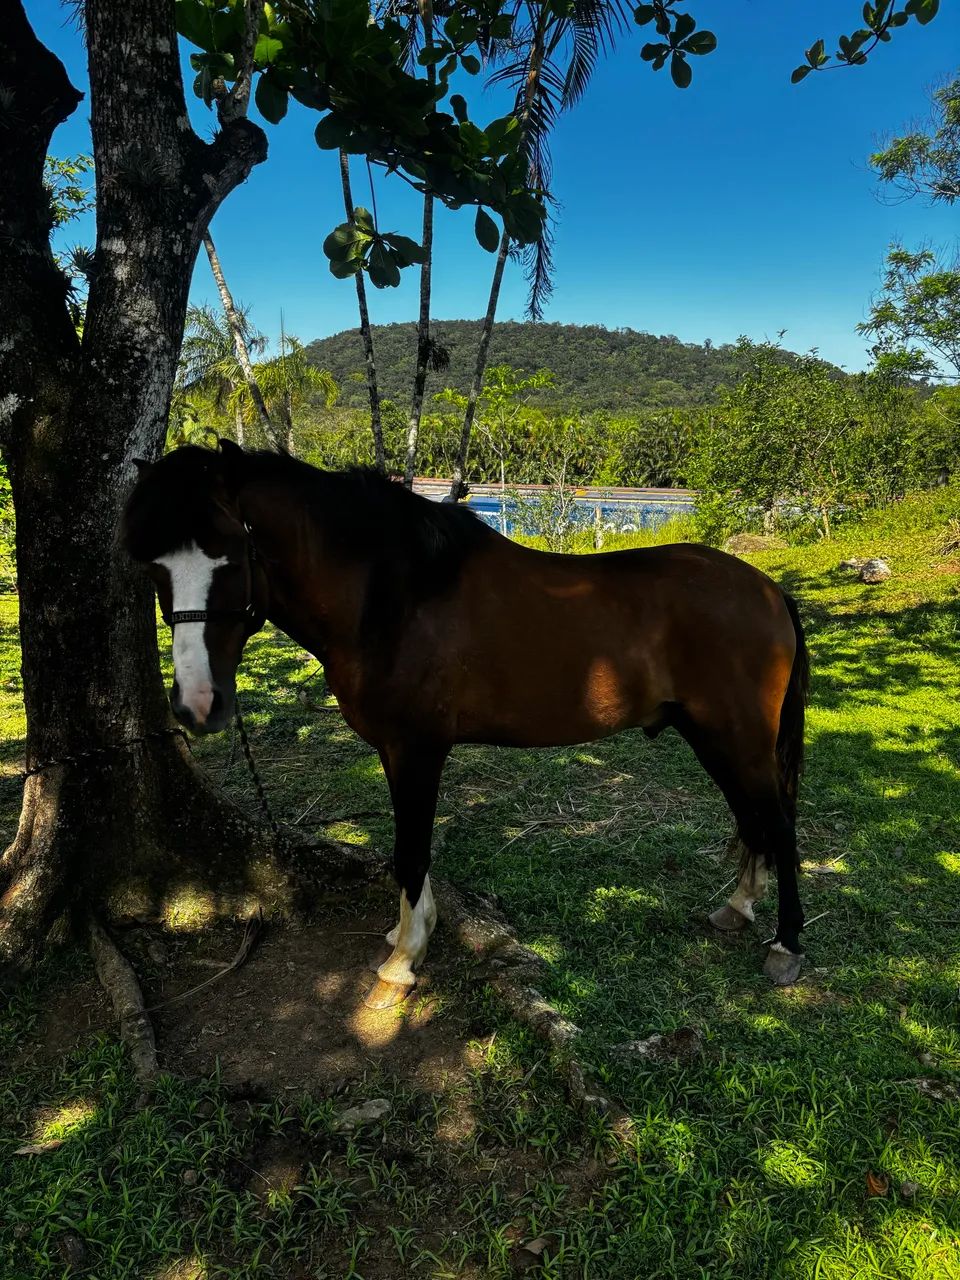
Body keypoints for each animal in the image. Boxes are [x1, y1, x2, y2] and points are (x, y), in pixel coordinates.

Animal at [122, 441, 809, 1009]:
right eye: (154, 568)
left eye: (230, 559)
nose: (198, 704)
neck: (395, 598)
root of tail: (768, 589)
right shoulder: (397, 752)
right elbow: (408, 849)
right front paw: (410, 932)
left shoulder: (418, 749)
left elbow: (411, 849)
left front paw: (402, 965)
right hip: (712, 738)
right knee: (751, 818)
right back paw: (738, 908)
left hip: (739, 739)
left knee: (778, 823)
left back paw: (787, 947)